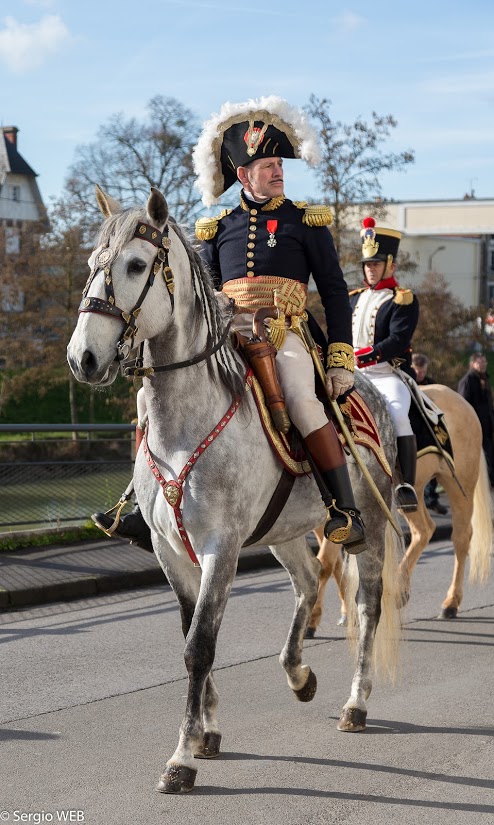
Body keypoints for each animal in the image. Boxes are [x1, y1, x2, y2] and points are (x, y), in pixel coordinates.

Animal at [65, 185, 406, 792]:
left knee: (368, 605)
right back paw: (298, 673)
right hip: (283, 532)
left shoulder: (219, 548)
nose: (83, 359)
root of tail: (368, 387)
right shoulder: (169, 550)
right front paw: (206, 731)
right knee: (307, 586)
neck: (184, 422)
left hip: (367, 522)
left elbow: (199, 644)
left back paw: (356, 703)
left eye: (135, 265)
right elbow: (189, 633)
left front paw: (181, 756)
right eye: (90, 264)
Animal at [310, 384, 492, 632]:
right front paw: (343, 612)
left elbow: (325, 564)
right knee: (424, 530)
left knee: (461, 537)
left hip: (458, 484)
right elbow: (332, 563)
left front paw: (312, 618)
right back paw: (402, 590)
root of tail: (456, 396)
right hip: (414, 492)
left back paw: (449, 602)